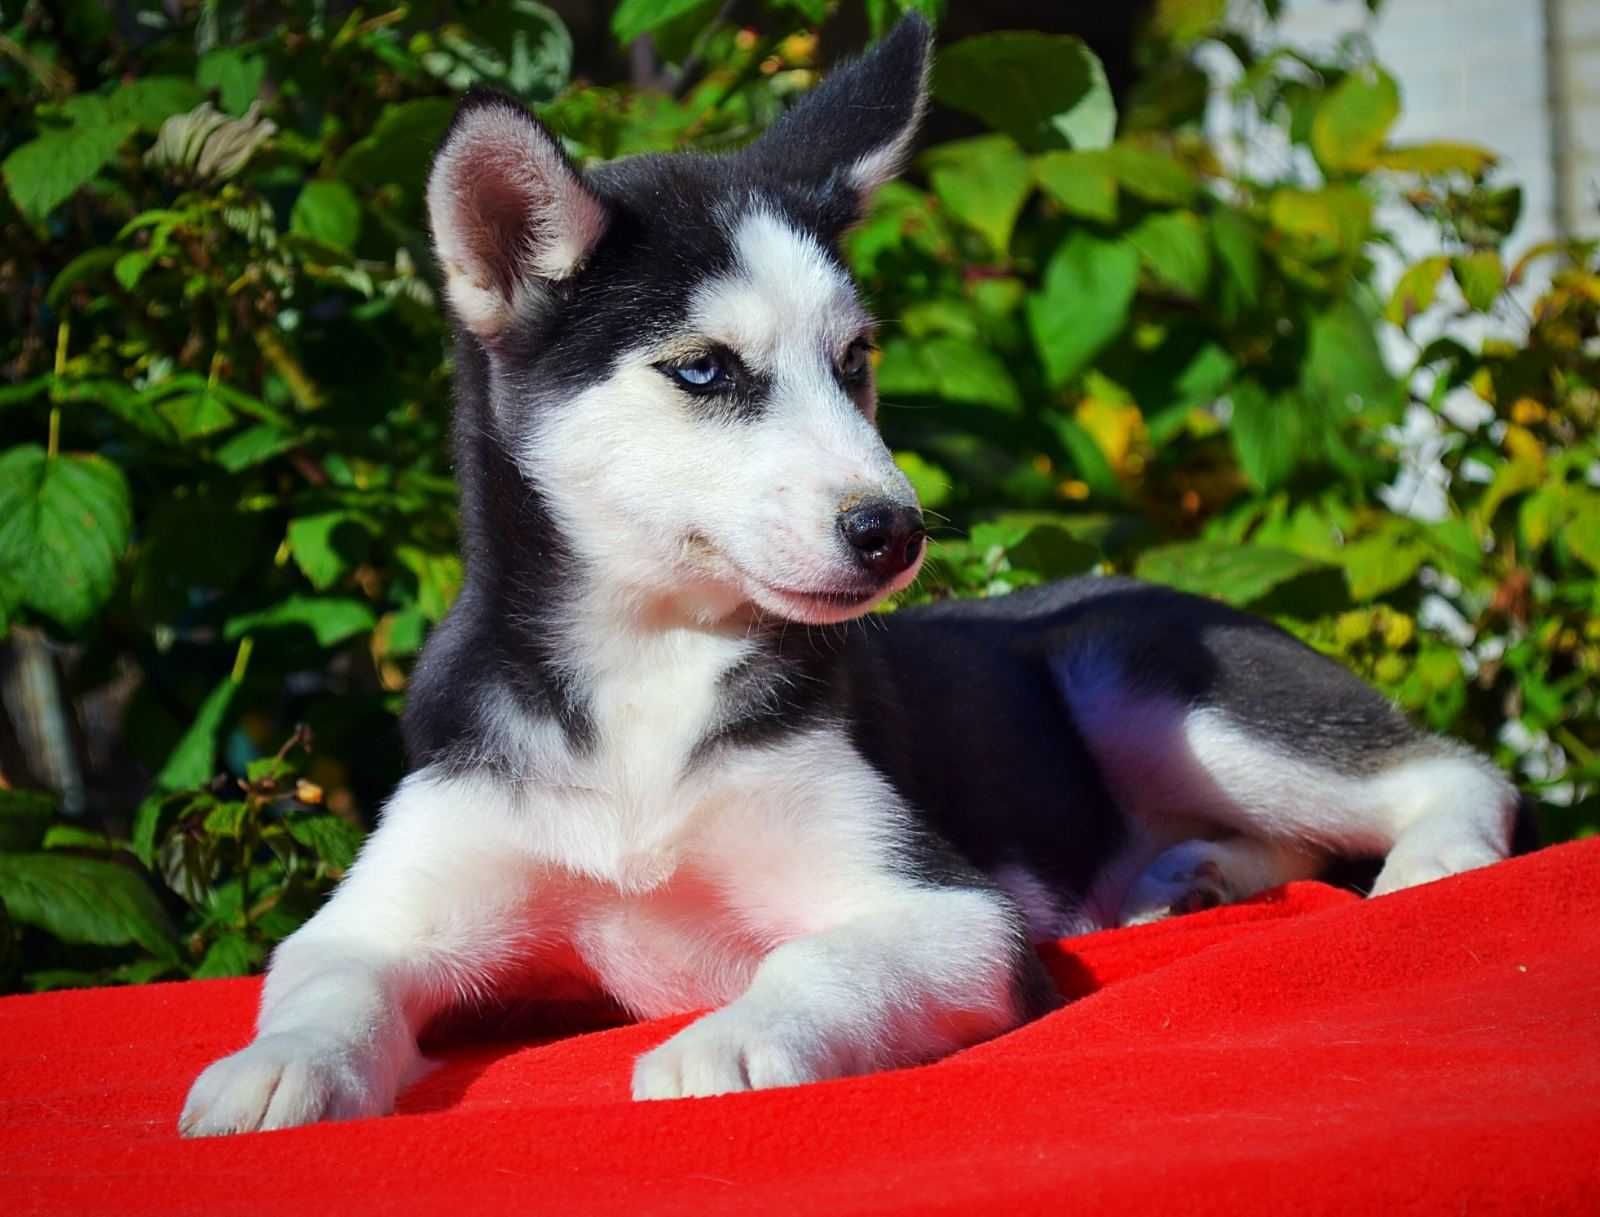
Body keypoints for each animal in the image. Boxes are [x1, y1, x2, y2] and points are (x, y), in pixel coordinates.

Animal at [181, 16, 1516, 1138]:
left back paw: (1428, 859)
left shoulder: (951, 910)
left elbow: (817, 956)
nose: (894, 529)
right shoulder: (393, 893)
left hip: (1153, 685)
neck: (648, 665)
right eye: (706, 369)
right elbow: (325, 974)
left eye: (856, 357)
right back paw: (1192, 878)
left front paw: (728, 1039)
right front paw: (276, 1064)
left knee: (1453, 768)